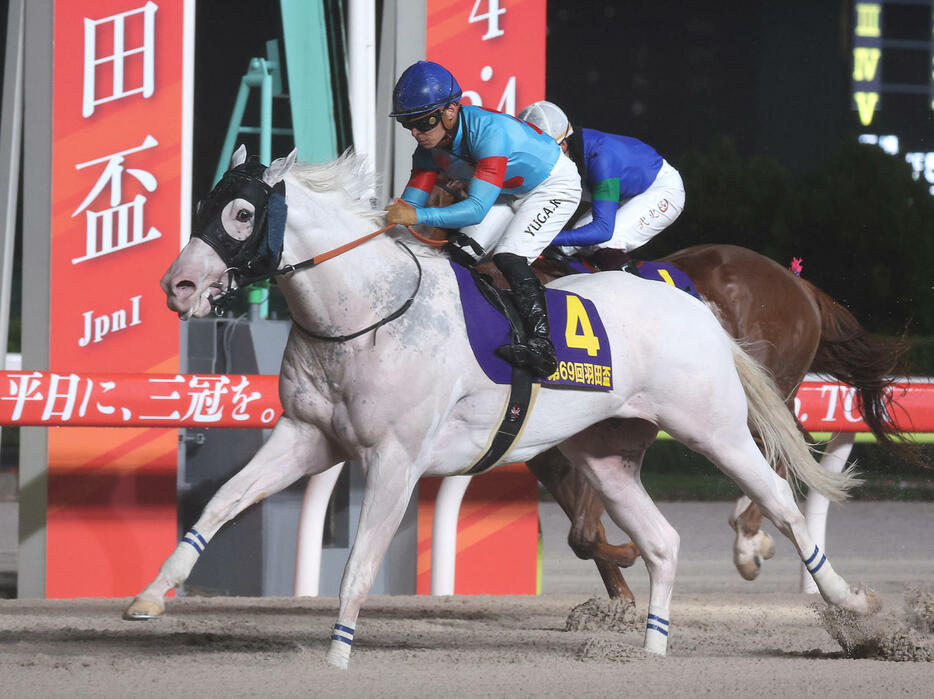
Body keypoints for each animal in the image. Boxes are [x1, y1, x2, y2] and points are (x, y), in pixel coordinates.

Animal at [524, 243, 916, 600]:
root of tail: (797, 282)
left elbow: (584, 532)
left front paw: (630, 565)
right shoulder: (545, 454)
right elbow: (582, 536)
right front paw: (620, 595)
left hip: (757, 387)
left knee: (786, 443)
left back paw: (748, 540)